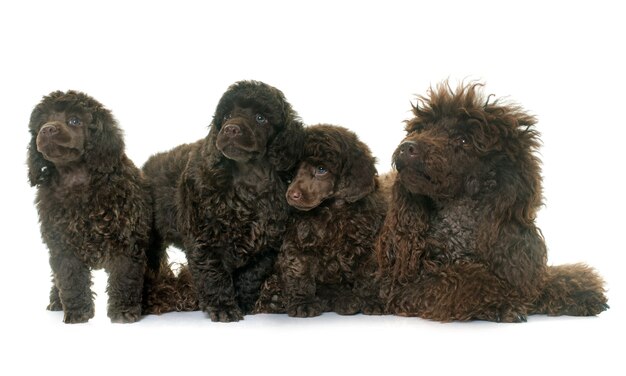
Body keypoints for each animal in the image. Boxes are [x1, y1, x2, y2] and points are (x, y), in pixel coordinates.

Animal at [28, 89, 172, 322]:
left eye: (74, 120)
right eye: (42, 121)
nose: (47, 129)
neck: (76, 179)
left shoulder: (127, 243)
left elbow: (125, 279)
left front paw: (123, 312)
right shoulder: (63, 247)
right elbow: (70, 281)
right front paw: (77, 313)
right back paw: (56, 301)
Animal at [144, 81, 304, 322]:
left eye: (260, 118)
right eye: (227, 115)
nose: (230, 129)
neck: (248, 180)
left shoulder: (266, 245)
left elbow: (250, 276)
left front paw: (244, 303)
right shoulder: (203, 238)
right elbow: (213, 275)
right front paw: (223, 308)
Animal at [254, 125, 386, 318]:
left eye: (321, 169)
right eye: (294, 172)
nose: (291, 195)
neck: (332, 210)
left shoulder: (368, 245)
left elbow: (369, 274)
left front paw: (372, 300)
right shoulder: (297, 243)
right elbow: (300, 273)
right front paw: (304, 304)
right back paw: (275, 300)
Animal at [372, 82, 608, 324]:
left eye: (463, 140)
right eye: (421, 129)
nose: (407, 147)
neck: (457, 229)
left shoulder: (520, 266)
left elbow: (540, 281)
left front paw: (580, 290)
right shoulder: (403, 288)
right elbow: (464, 281)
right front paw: (503, 300)